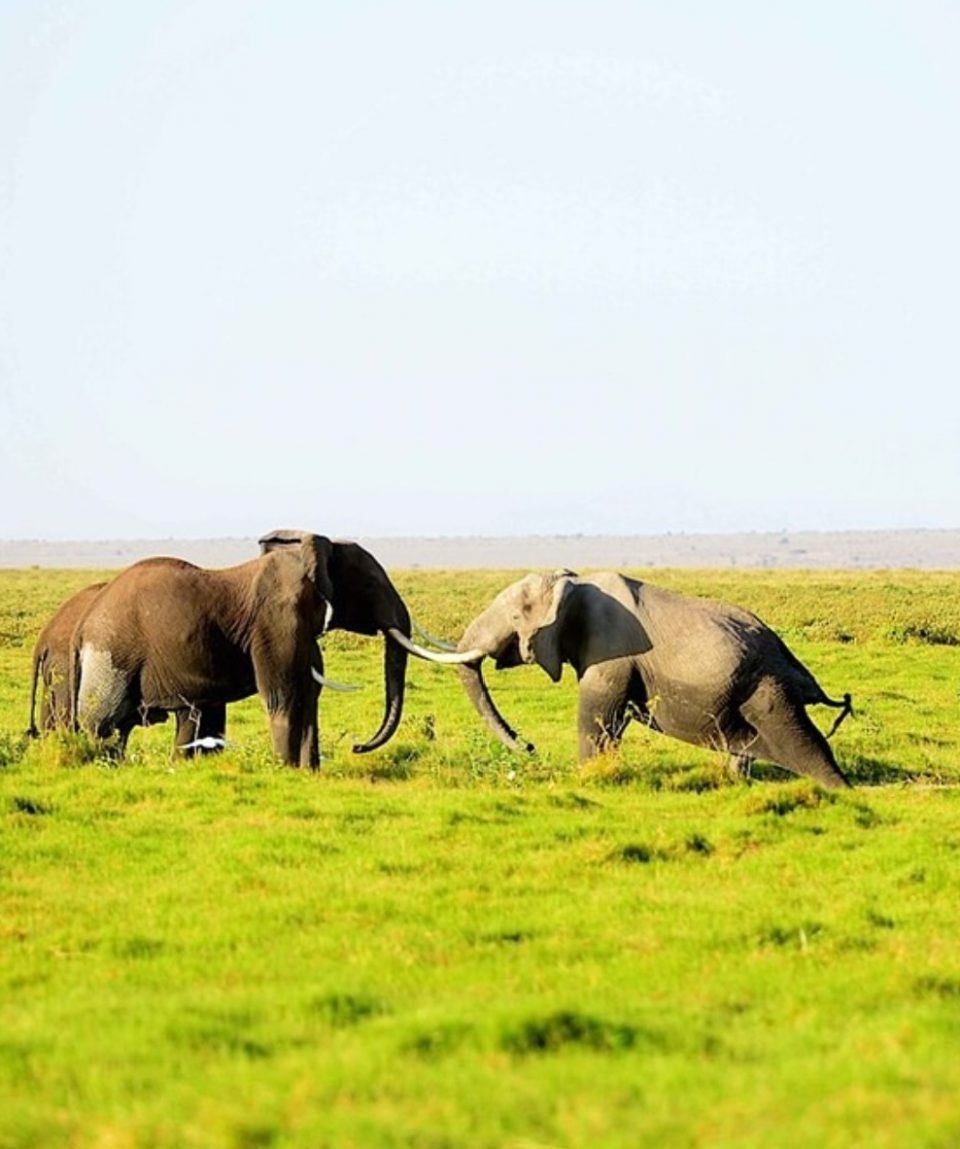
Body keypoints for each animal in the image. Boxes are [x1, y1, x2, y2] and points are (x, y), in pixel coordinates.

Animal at [69, 530, 470, 767]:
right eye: (371, 585)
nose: (356, 746)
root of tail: (83, 621)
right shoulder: (277, 622)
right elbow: (283, 696)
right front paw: (285, 769)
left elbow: (308, 696)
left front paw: (307, 773)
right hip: (111, 653)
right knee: (103, 722)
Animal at [457, 567, 854, 790]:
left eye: (514, 616)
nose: (528, 746)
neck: (575, 582)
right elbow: (611, 723)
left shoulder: (609, 650)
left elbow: (596, 716)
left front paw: (587, 779)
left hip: (766, 690)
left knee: (801, 740)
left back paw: (841, 792)